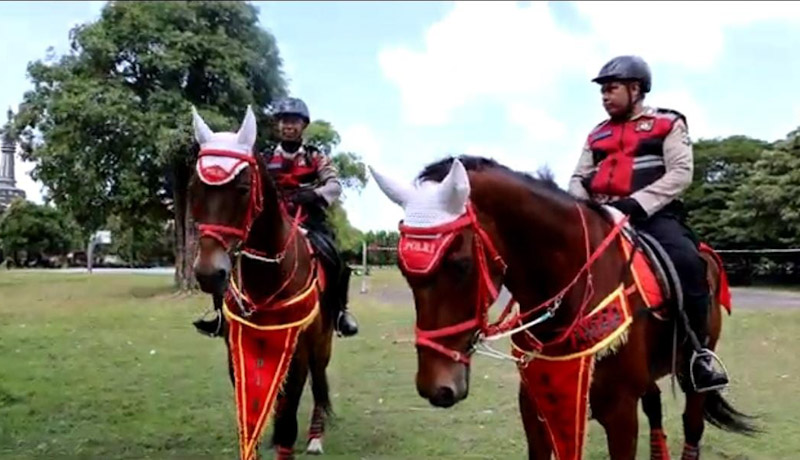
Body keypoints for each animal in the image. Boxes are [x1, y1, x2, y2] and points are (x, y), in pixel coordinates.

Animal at [189, 106, 336, 458]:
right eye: (194, 188)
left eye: (243, 188)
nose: (208, 273)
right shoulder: (237, 349)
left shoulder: (299, 352)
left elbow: (288, 419)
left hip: (322, 344)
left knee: (319, 383)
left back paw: (315, 436)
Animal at [368, 156, 756, 458]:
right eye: (403, 269)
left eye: (460, 264)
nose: (436, 387)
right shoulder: (536, 403)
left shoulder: (620, 413)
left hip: (695, 368)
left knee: (693, 421)